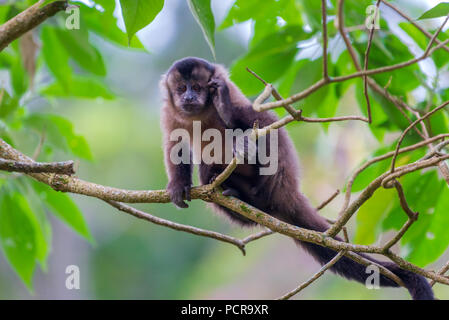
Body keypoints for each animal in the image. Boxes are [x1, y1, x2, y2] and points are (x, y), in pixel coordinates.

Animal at [158, 56, 434, 298]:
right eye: (181, 88)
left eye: (196, 87)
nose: (189, 97)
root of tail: (286, 192)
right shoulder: (169, 113)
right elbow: (175, 145)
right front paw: (178, 185)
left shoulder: (229, 88)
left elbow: (261, 120)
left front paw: (225, 107)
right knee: (208, 172)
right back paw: (237, 196)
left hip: (279, 177)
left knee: (263, 130)